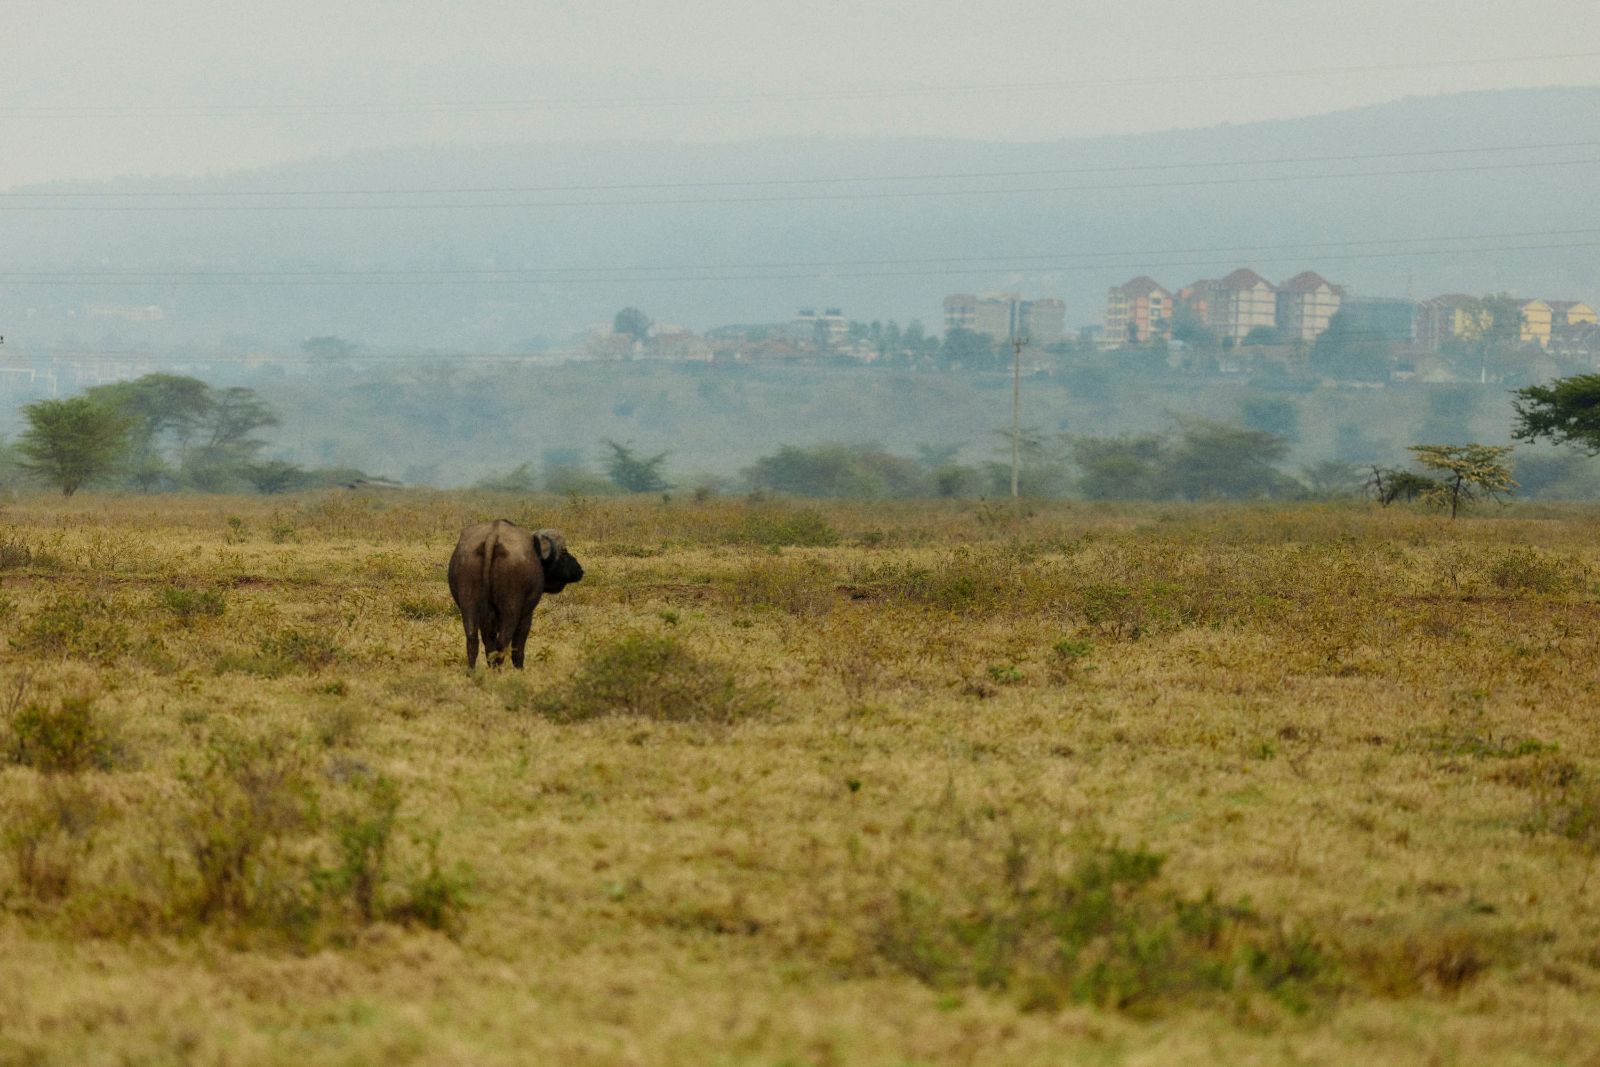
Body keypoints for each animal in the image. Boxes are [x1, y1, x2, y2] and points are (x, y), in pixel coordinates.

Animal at [447, 519, 584, 668]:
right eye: (564, 552)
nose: (579, 569)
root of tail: (492, 538)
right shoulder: (526, 615)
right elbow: (518, 649)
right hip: (511, 610)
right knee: (502, 643)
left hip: (469, 605)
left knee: (473, 641)